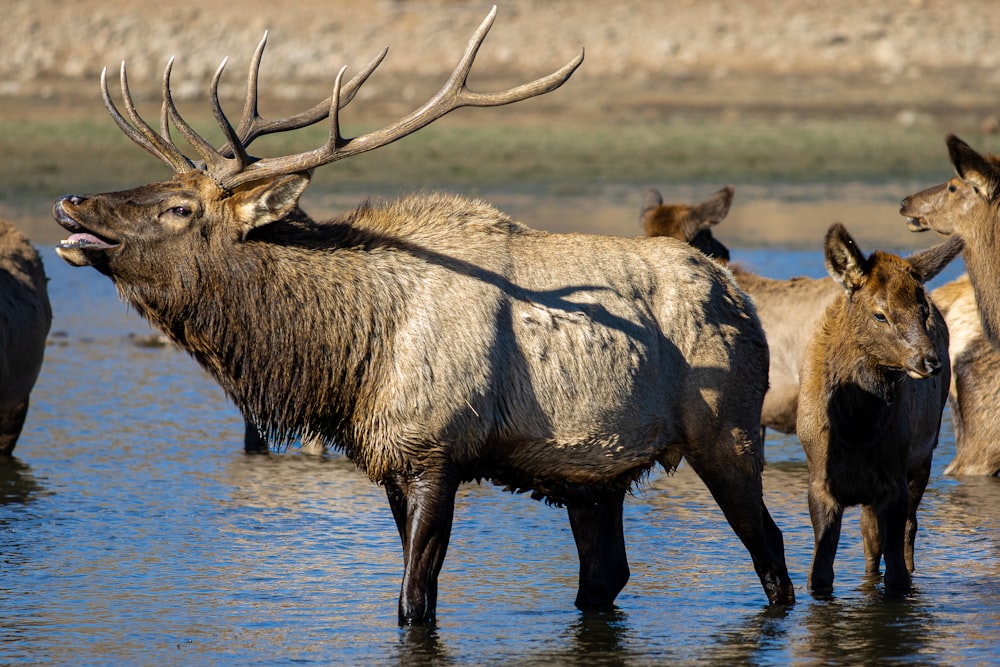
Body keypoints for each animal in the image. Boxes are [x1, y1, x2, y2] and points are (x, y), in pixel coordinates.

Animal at [52, 9, 796, 628]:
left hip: (728, 428)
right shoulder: (389, 458)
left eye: (179, 207)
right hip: (594, 471)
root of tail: (737, 294)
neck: (348, 356)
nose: (70, 201)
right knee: (605, 575)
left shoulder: (438, 448)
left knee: (771, 548)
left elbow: (414, 602)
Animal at [796, 224, 960, 596]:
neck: (857, 430)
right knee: (870, 537)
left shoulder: (895, 480)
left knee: (906, 531)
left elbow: (897, 578)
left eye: (922, 312)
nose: (930, 362)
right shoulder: (819, 484)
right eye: (880, 314)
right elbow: (819, 577)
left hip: (924, 458)